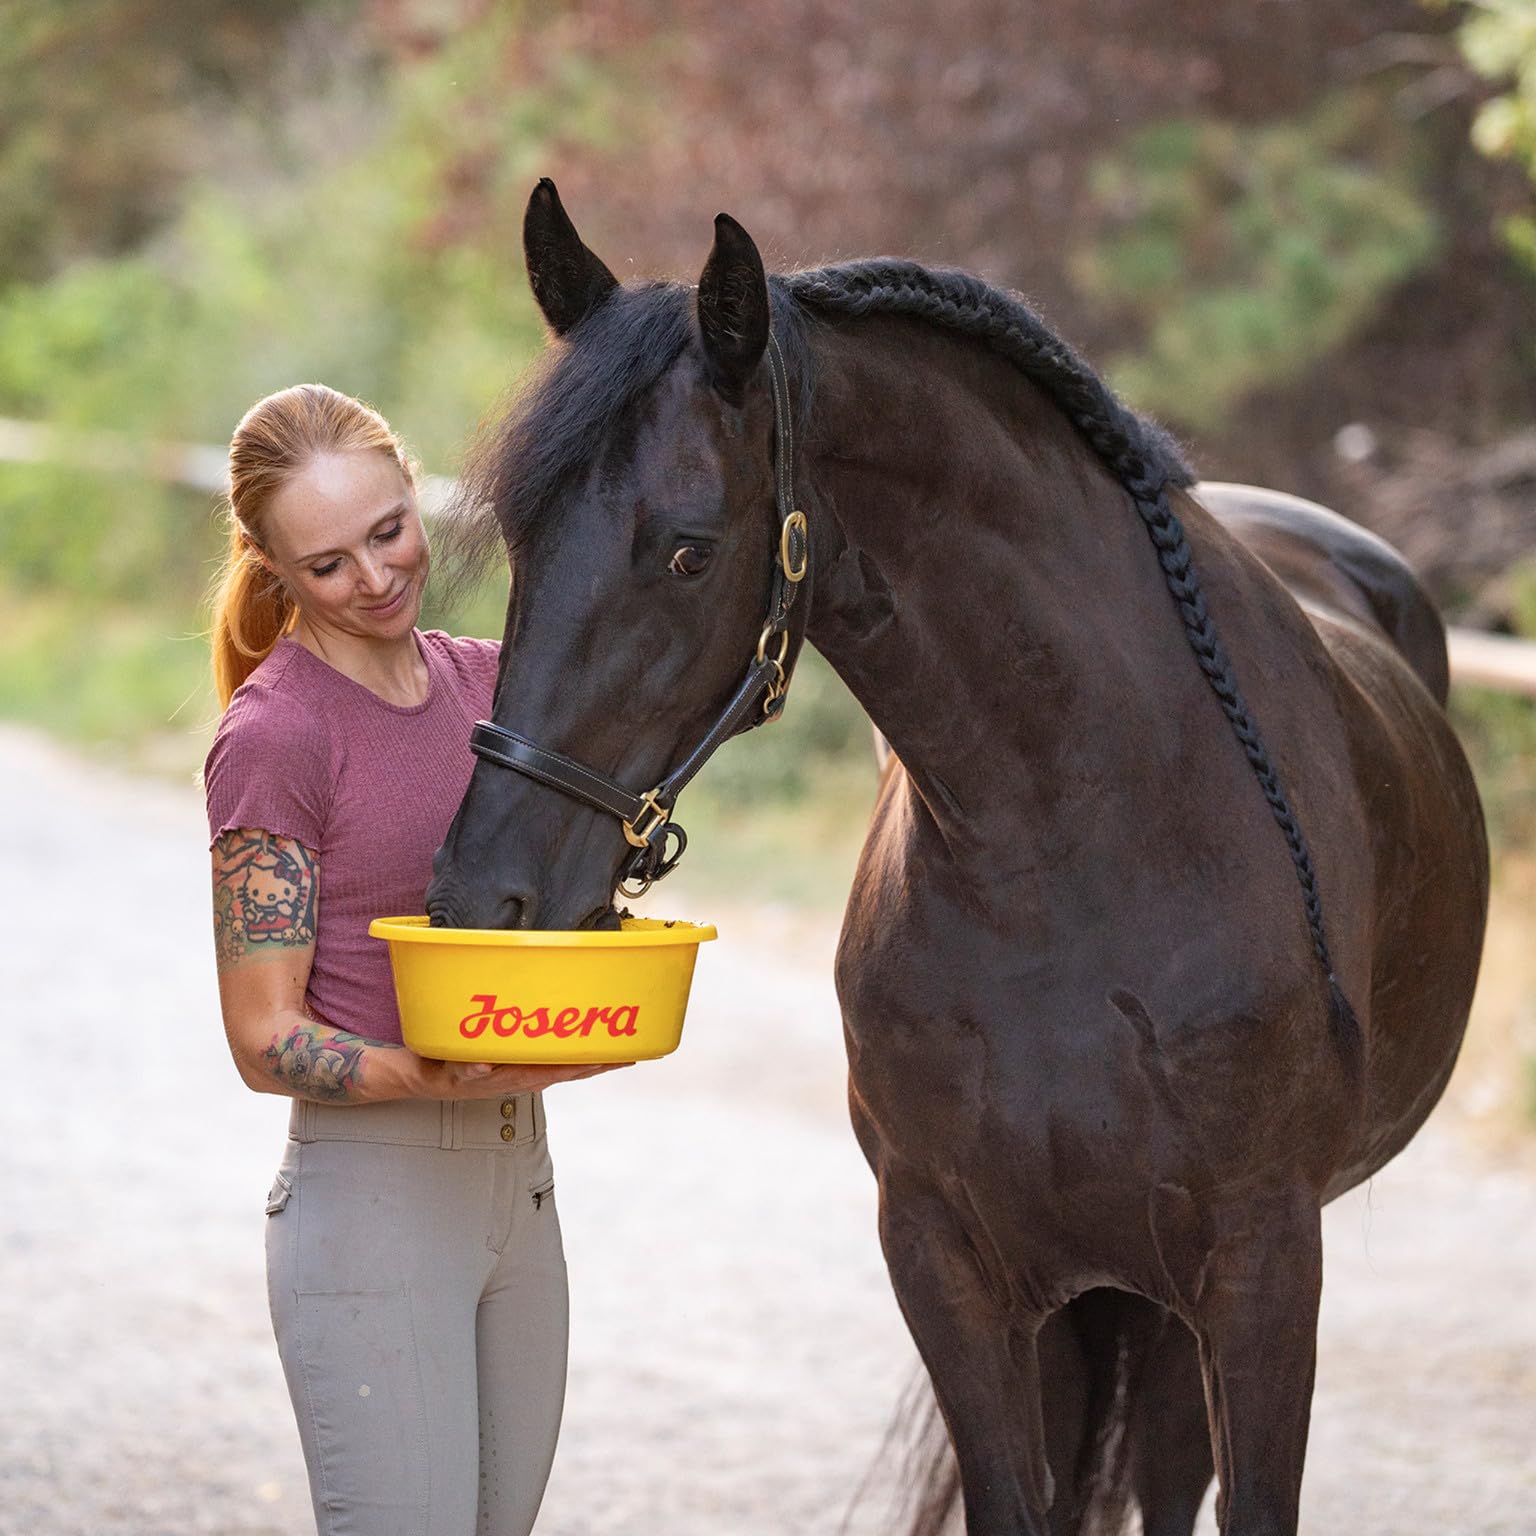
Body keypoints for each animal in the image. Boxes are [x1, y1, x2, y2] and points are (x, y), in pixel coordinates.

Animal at [425, 179, 1489, 1536]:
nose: (480, 896)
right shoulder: (949, 1265)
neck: (1074, 849)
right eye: (518, 531)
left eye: (688, 548)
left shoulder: (1262, 1265)